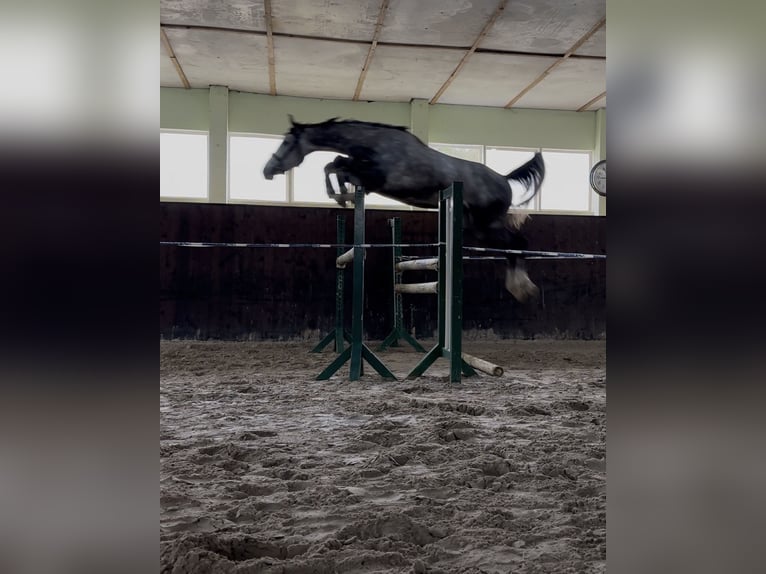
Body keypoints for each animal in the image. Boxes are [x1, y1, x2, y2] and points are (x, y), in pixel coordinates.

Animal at [263, 116, 546, 302]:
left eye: (286, 143)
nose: (267, 170)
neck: (375, 145)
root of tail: (504, 179)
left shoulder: (375, 179)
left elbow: (338, 167)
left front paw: (343, 195)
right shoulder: (363, 172)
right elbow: (334, 164)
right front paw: (343, 196)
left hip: (488, 223)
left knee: (519, 243)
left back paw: (523, 288)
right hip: (478, 227)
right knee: (511, 247)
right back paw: (520, 288)